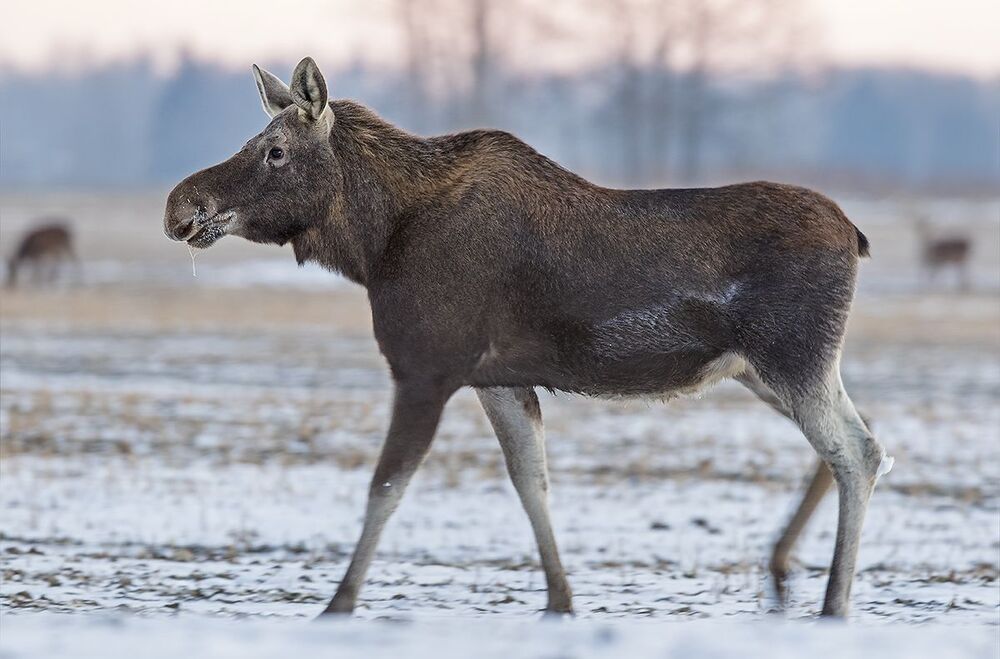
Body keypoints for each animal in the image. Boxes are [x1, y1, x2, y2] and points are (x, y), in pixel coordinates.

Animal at [163, 58, 892, 619]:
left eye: (274, 150)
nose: (179, 206)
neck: (374, 242)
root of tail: (857, 236)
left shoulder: (426, 367)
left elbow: (386, 486)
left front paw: (337, 603)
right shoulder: (499, 379)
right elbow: (530, 480)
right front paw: (561, 599)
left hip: (793, 358)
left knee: (858, 451)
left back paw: (833, 601)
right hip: (764, 369)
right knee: (859, 442)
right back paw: (784, 568)